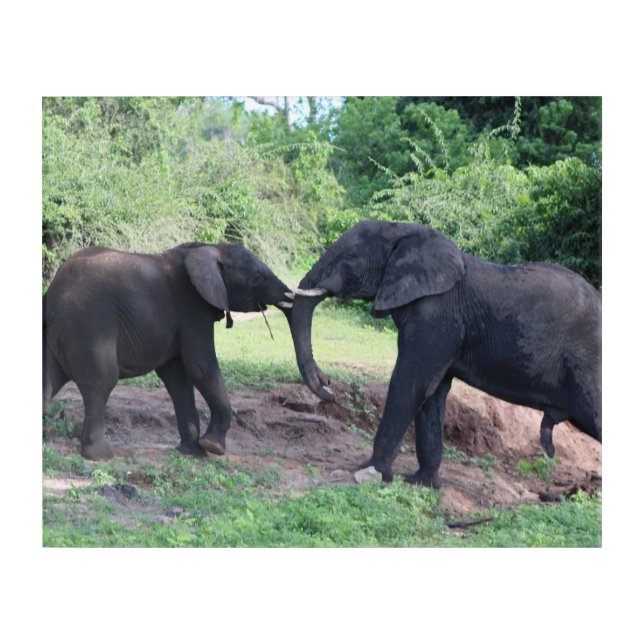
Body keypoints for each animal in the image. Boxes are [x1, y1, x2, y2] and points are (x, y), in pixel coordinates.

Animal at [43, 242, 294, 460]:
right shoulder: (193, 309)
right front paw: (212, 447)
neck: (211, 247)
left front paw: (194, 453)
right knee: (101, 381)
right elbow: (201, 367)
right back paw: (101, 456)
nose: (289, 296)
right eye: (256, 278)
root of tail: (52, 294)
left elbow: (178, 378)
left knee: (48, 380)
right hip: (89, 326)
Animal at [288, 220, 601, 488]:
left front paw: (369, 473)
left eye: (350, 257)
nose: (328, 387)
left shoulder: (437, 316)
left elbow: (408, 384)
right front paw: (420, 482)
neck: (403, 230)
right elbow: (432, 393)